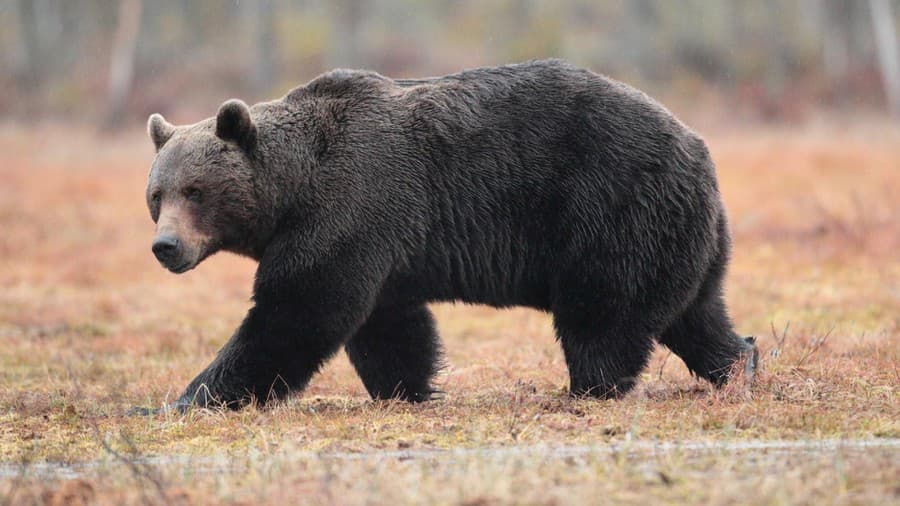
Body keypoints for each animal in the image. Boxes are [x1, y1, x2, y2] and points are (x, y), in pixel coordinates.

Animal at [142, 59, 760, 414]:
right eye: (156, 196)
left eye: (195, 190)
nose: (166, 247)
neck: (293, 189)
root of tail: (697, 145)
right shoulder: (378, 242)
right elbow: (388, 325)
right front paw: (407, 388)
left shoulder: (349, 206)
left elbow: (296, 312)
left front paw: (187, 399)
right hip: (682, 233)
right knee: (695, 314)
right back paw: (740, 364)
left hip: (611, 205)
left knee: (602, 312)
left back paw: (587, 388)